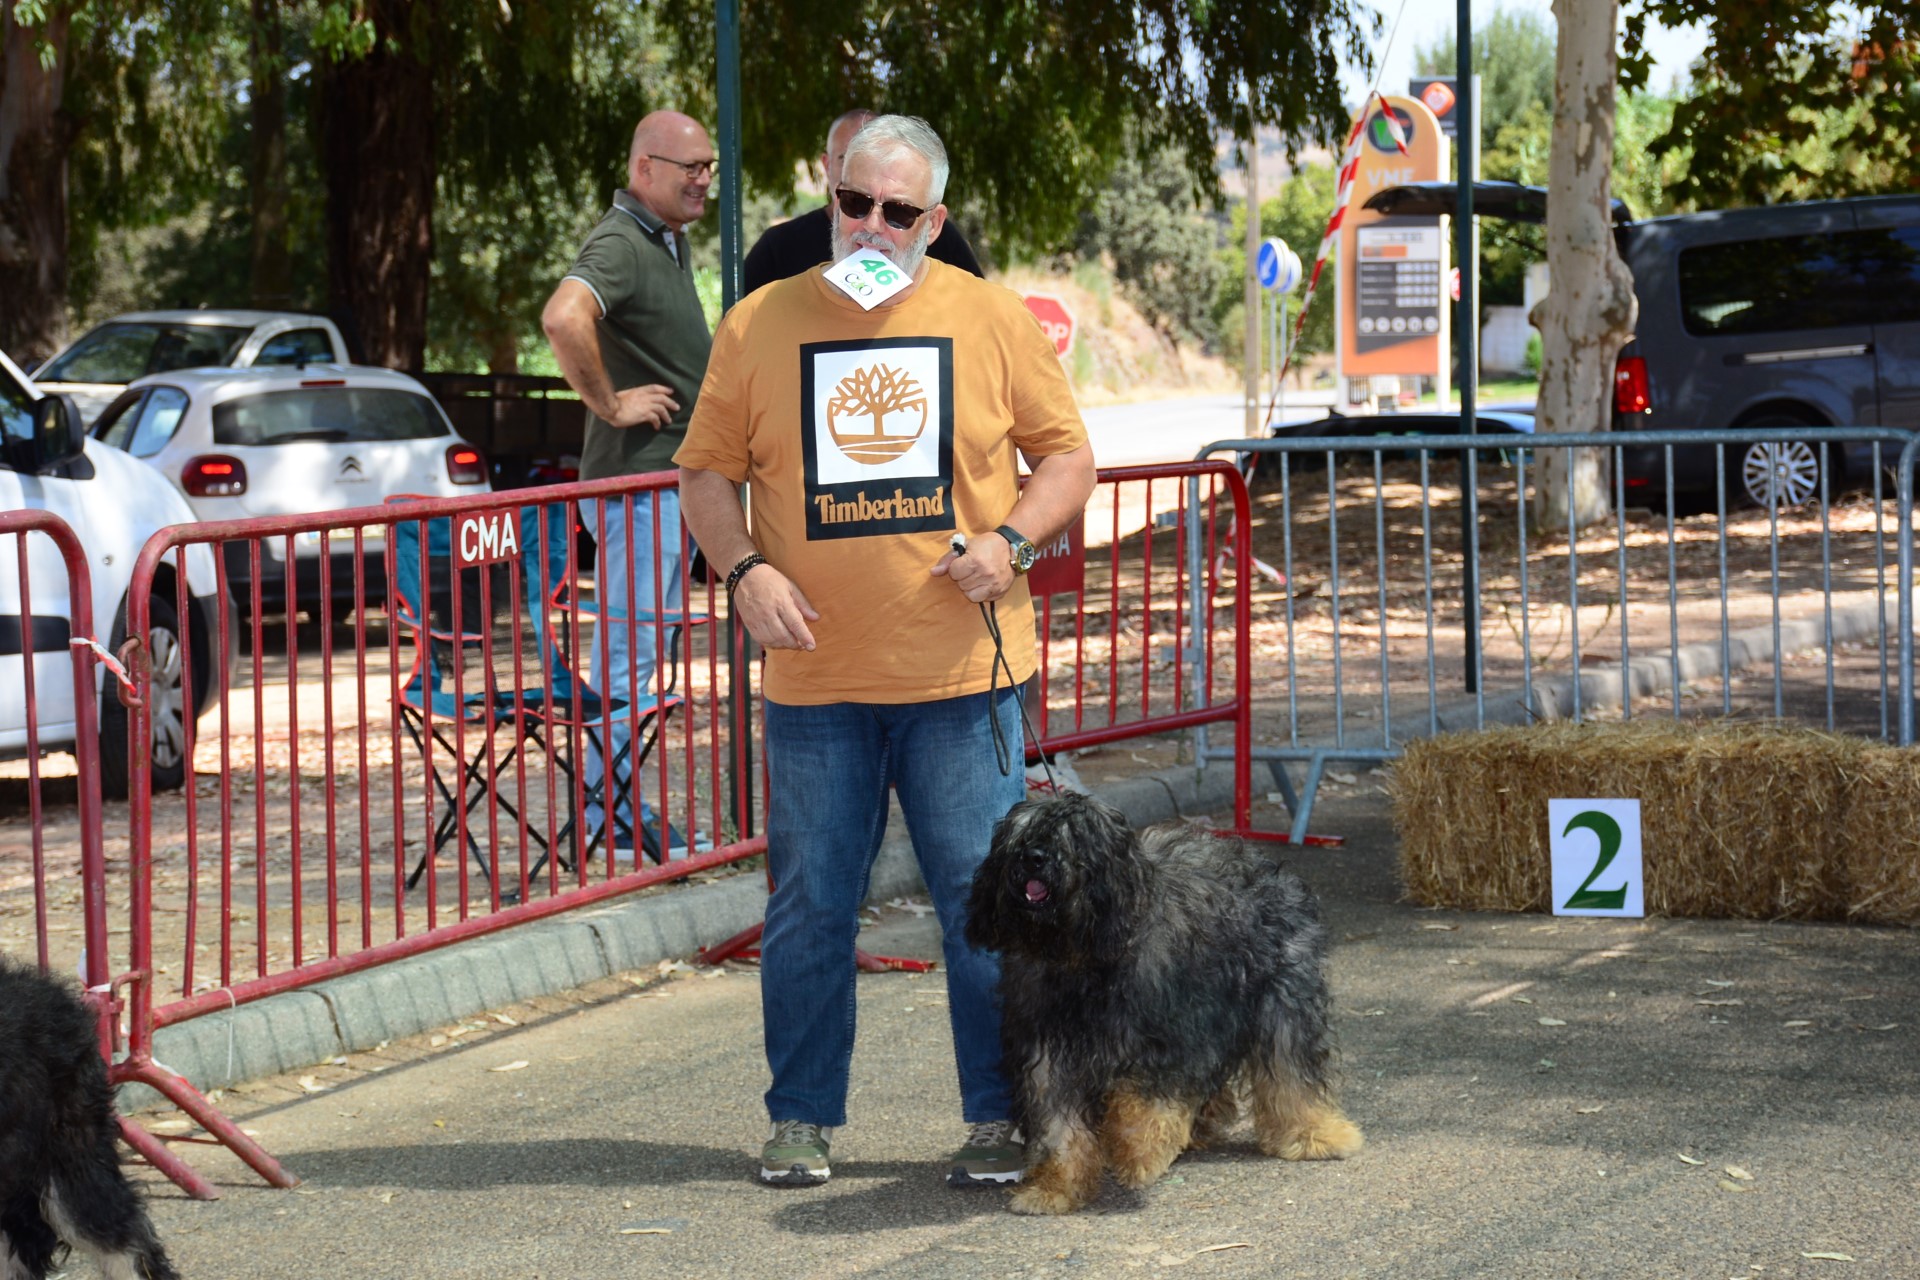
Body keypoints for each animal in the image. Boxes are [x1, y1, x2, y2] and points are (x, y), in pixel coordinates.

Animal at [967, 794, 1359, 1220]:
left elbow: (1146, 1102)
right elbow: (1060, 1128)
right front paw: (1056, 1187)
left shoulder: (1169, 1037)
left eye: (1073, 836)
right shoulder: (1048, 1053)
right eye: (1021, 835)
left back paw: (1315, 1134)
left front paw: (1137, 1152)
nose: (1034, 858)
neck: (1080, 957)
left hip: (1283, 997)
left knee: (1292, 1070)